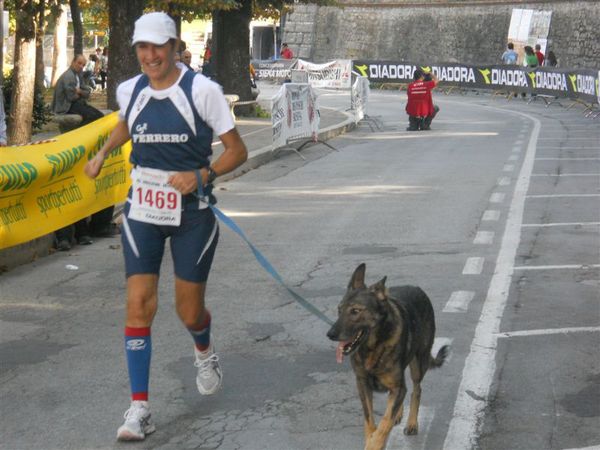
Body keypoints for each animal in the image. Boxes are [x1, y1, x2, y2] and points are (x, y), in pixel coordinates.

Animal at [326, 264, 448, 450]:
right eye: (339, 310)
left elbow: (384, 423)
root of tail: (416, 288)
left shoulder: (398, 387)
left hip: (418, 365)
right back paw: (399, 414)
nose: (330, 334)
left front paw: (375, 443)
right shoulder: (363, 386)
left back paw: (412, 423)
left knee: (416, 389)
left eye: (355, 311)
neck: (373, 346)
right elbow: (370, 421)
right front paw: (372, 437)